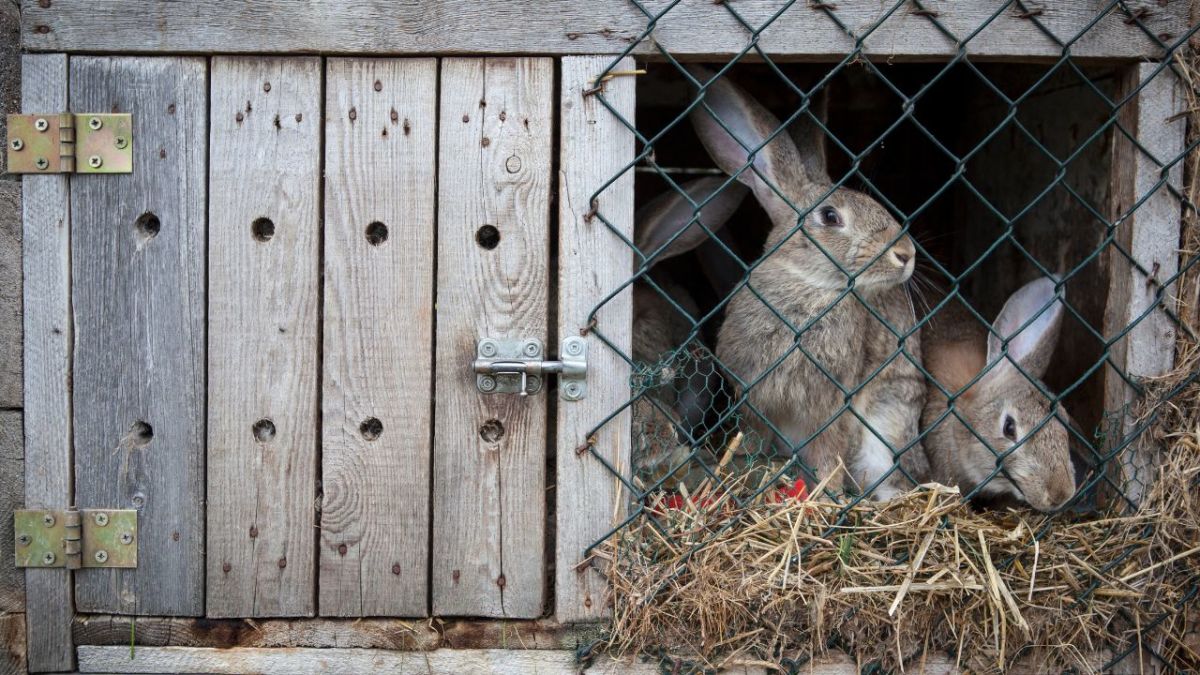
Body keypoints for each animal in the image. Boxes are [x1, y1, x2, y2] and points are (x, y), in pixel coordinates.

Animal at [686, 66, 926, 494]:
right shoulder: (754, 400)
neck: (810, 287)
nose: (906, 254)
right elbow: (753, 438)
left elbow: (829, 451)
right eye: (830, 217)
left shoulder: (833, 406)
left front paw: (827, 494)